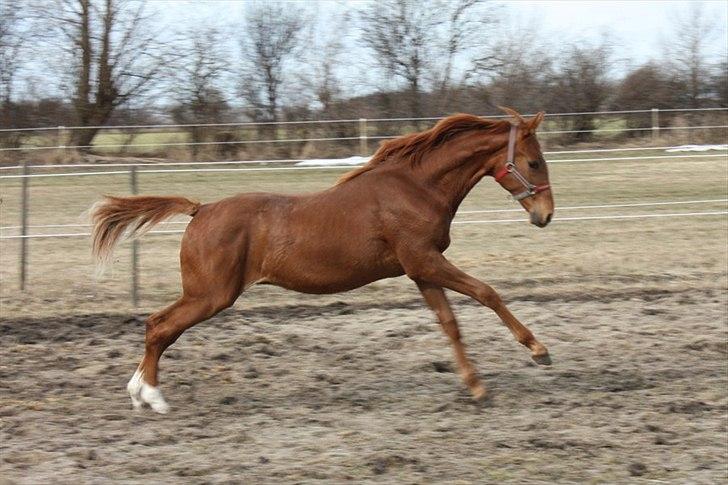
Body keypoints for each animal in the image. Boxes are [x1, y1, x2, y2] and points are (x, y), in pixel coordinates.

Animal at [94, 108, 556, 412]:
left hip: (205, 294)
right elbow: (486, 292)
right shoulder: (425, 261)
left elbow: (450, 324)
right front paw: (538, 351)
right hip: (211, 294)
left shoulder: (420, 270)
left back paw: (138, 392)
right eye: (534, 162)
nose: (545, 215)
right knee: (160, 327)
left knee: (156, 324)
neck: (416, 188)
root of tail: (200, 209)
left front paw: (476, 387)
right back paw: (153, 397)